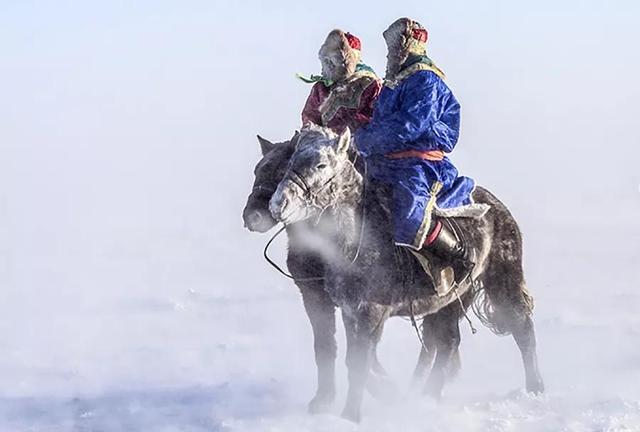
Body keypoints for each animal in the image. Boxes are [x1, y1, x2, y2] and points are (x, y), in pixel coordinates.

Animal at [262, 125, 544, 422]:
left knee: (522, 329)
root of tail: (498, 209)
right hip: (449, 301)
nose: (279, 204)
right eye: (290, 162)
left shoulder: (370, 312)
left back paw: (534, 388)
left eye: (321, 164)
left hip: (503, 280)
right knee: (447, 341)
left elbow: (360, 362)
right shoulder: (347, 309)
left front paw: (351, 415)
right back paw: (428, 398)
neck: (355, 239)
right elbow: (343, 354)